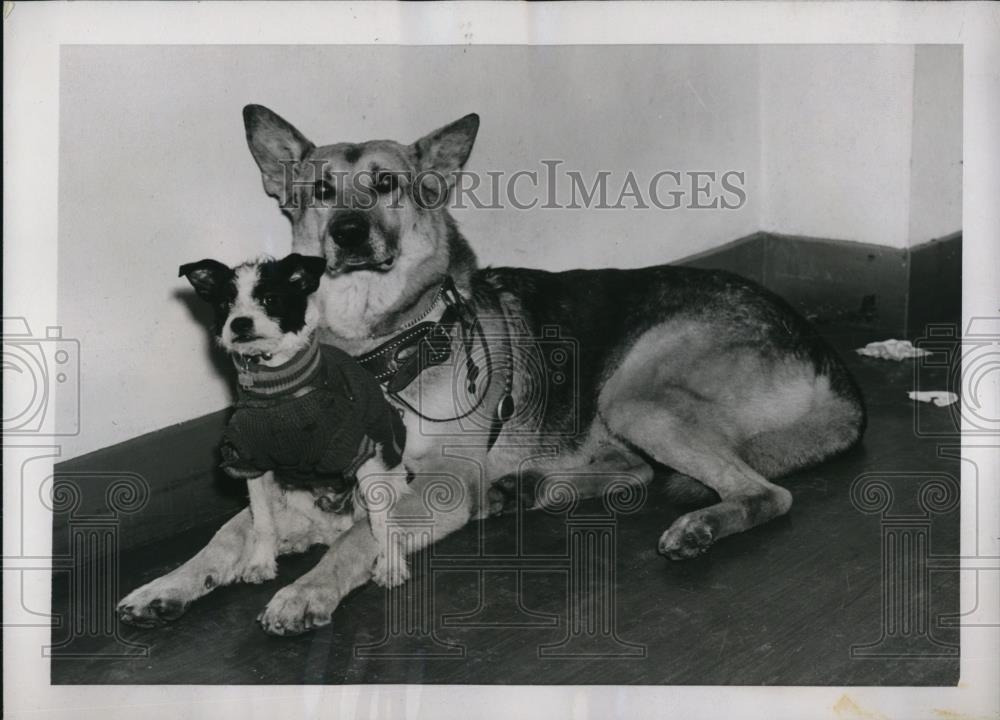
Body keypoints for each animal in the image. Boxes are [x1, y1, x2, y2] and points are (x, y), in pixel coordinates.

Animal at [178, 252, 408, 592]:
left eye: (270, 299)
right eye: (225, 304)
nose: (240, 323)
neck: (278, 388)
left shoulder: (360, 451)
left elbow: (380, 523)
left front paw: (390, 565)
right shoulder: (251, 462)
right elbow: (263, 522)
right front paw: (261, 561)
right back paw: (294, 541)